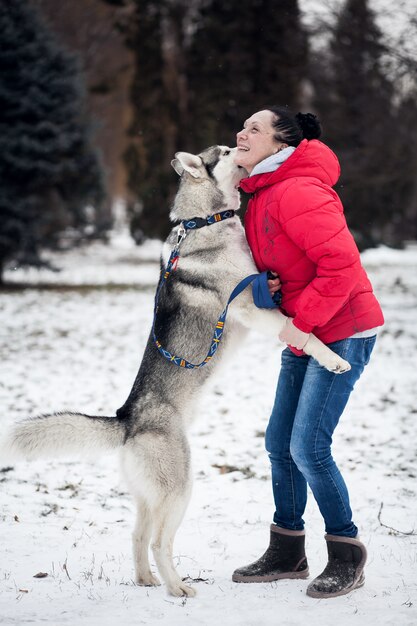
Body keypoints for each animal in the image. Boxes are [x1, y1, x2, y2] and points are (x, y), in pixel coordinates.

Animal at [1, 145, 350, 596]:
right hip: (180, 488)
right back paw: (178, 587)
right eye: (225, 151)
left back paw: (148, 580)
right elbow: (301, 332)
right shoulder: (248, 305)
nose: (240, 146)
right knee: (159, 542)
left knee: (138, 536)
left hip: (150, 495)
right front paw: (333, 358)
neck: (205, 221)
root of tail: (127, 418)